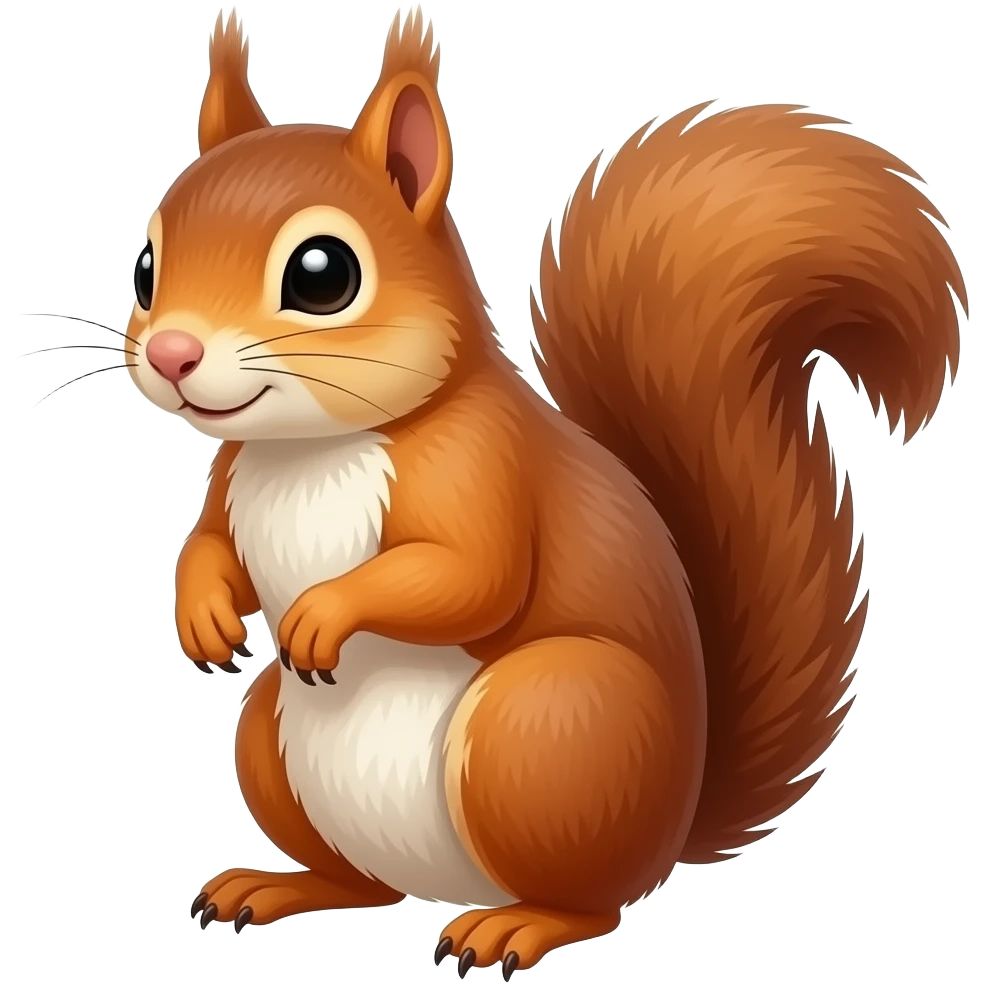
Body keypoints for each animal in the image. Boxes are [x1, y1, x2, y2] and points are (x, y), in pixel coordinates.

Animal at [129, 6, 966, 976]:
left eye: (322, 273)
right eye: (145, 266)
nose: (172, 354)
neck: (311, 451)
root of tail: (672, 827)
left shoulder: (480, 467)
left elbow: (473, 575)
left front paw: (322, 612)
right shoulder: (232, 475)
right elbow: (208, 548)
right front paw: (202, 614)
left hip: (545, 729)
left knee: (591, 902)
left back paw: (517, 927)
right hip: (273, 735)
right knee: (364, 886)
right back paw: (278, 887)